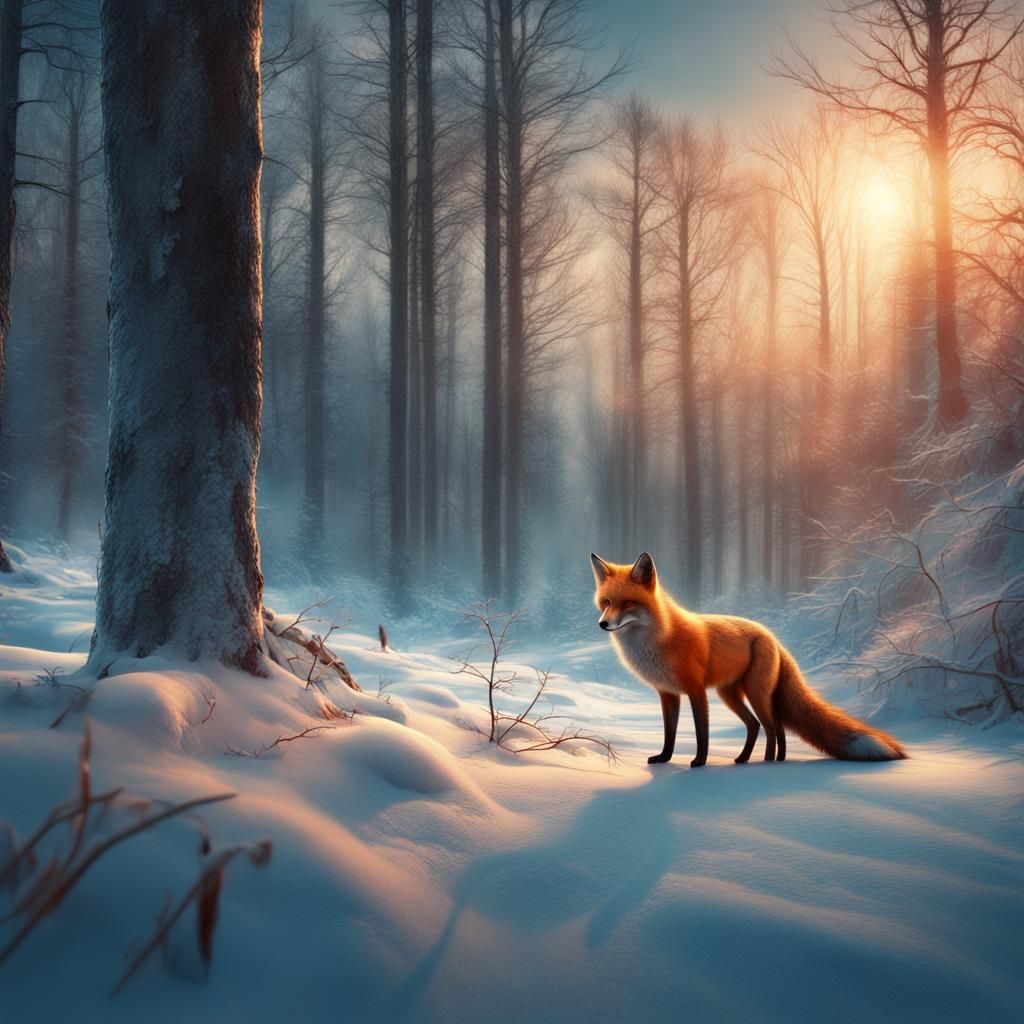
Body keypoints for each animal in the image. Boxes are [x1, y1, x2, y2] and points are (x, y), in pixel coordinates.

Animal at [591, 551, 906, 767]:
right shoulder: (668, 693)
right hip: (731, 694)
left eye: (628, 603)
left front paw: (699, 763)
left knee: (773, 726)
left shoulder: (695, 690)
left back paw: (770, 762)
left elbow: (702, 733)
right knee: (759, 725)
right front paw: (664, 758)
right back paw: (751, 759)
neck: (658, 640)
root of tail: (774, 638)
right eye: (606, 602)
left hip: (755, 692)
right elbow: (670, 734)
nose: (603, 624)